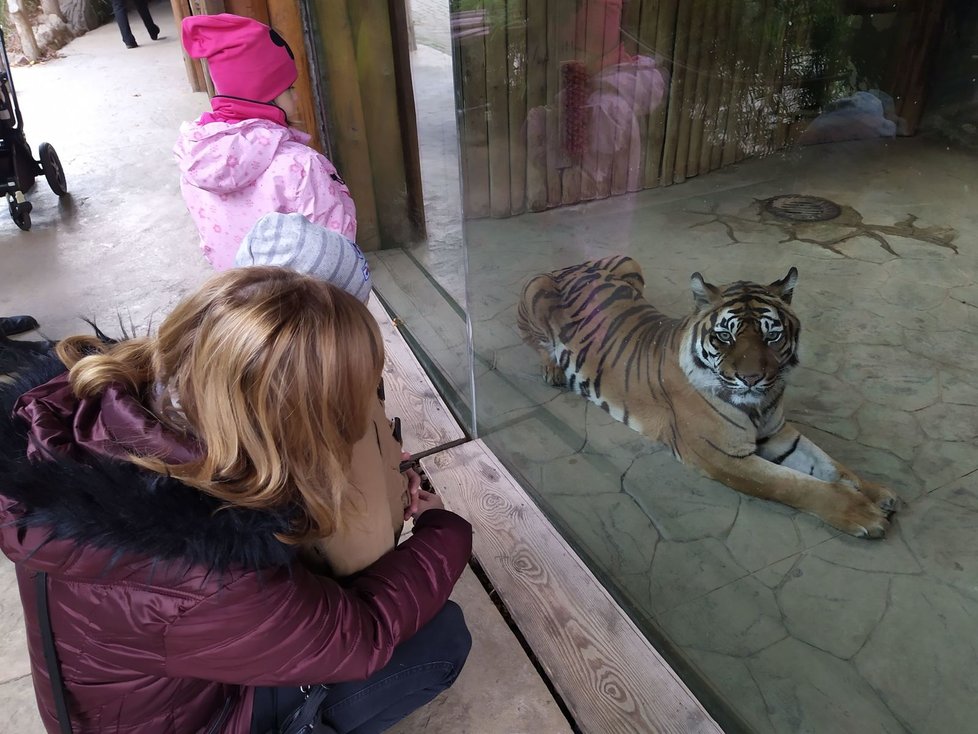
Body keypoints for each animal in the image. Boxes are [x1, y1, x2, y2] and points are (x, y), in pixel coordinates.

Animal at [520, 256, 900, 536]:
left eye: (772, 335)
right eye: (725, 336)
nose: (751, 379)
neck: (759, 405)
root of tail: (570, 265)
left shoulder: (779, 433)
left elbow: (831, 465)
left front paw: (877, 493)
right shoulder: (720, 453)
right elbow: (791, 484)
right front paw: (862, 514)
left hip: (630, 264)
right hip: (536, 290)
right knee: (534, 342)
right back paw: (552, 369)